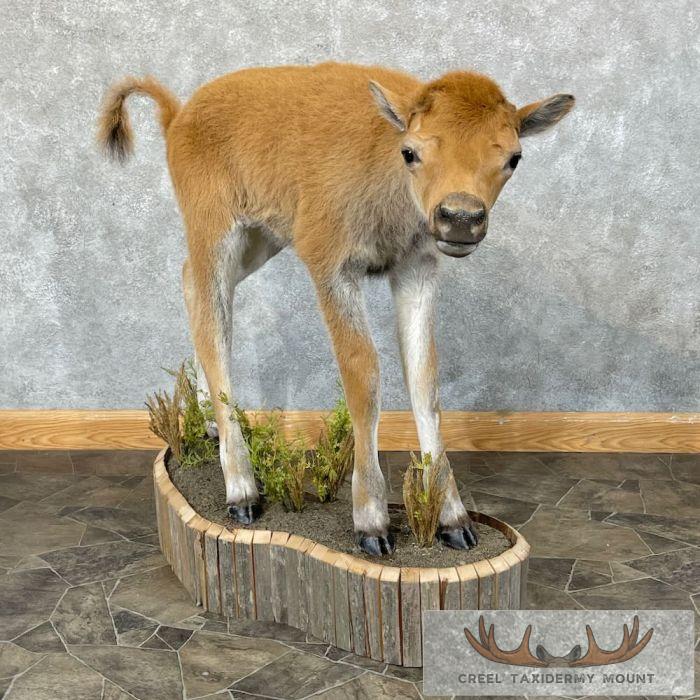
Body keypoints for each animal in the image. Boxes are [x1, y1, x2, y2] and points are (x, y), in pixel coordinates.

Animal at [99, 61, 574, 556]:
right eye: (411, 152)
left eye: (514, 157)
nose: (460, 218)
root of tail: (179, 117)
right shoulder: (332, 268)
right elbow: (363, 373)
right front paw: (372, 525)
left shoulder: (416, 269)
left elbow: (424, 378)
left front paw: (455, 522)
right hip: (215, 230)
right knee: (213, 321)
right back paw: (242, 493)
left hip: (260, 238)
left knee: (195, 290)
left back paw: (211, 427)